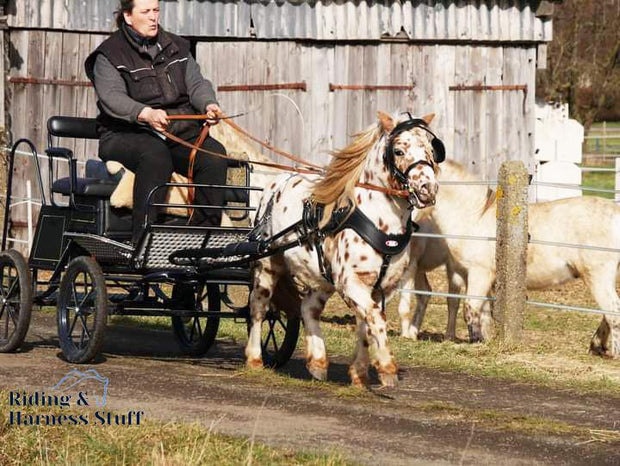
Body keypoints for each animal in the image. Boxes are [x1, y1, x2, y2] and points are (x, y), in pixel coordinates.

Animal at [398, 160, 620, 356]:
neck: (475, 216)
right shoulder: (464, 274)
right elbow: (480, 311)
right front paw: (484, 339)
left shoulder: (479, 273)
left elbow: (471, 308)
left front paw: (476, 341)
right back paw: (597, 345)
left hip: (597, 277)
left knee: (613, 310)